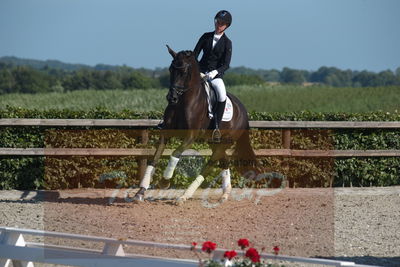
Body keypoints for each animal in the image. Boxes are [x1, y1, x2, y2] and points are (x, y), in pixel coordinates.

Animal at [133, 46, 260, 204]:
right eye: (170, 69)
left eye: (184, 72)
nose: (171, 97)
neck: (183, 102)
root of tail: (243, 110)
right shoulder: (166, 133)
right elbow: (154, 158)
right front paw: (140, 192)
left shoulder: (191, 136)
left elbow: (175, 153)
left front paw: (164, 182)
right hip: (215, 142)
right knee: (224, 161)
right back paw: (224, 195)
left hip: (226, 141)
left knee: (209, 166)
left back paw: (184, 196)